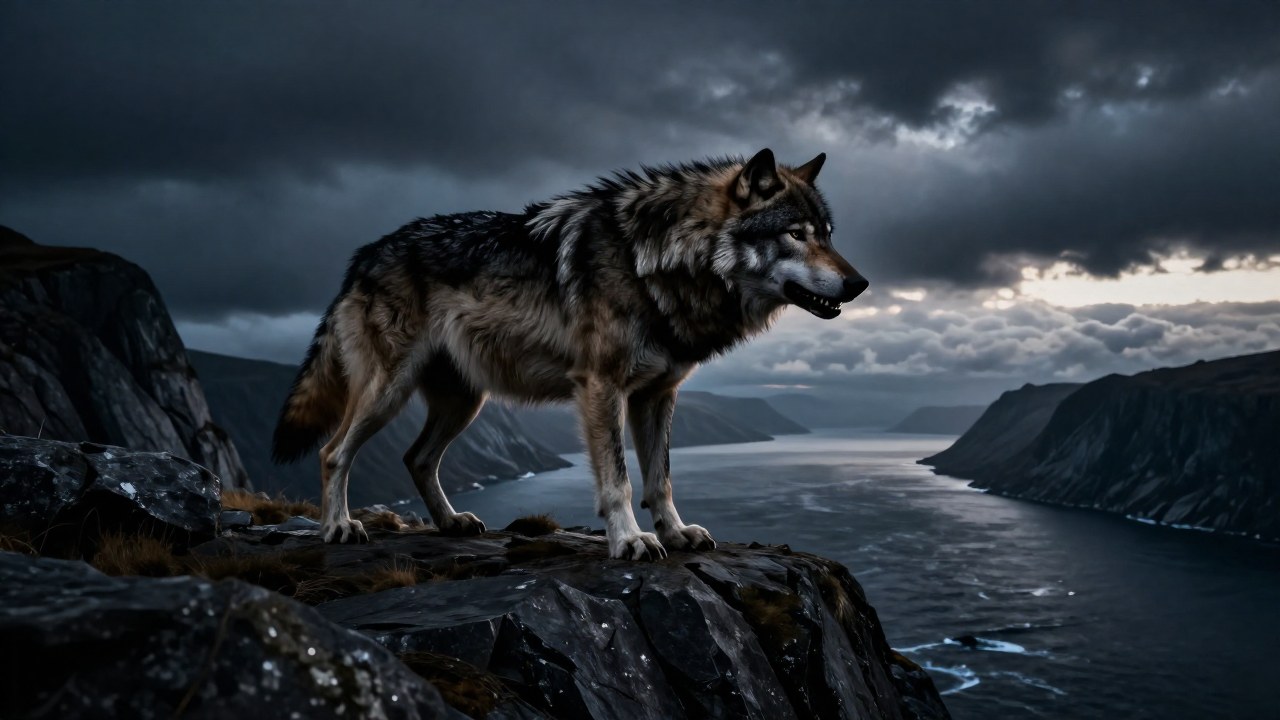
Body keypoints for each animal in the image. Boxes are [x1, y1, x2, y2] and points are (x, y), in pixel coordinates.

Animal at [271, 149, 868, 559]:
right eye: (796, 234)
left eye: (828, 234)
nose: (860, 283)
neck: (657, 262)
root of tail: (363, 256)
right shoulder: (602, 387)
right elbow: (619, 480)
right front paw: (630, 541)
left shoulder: (658, 394)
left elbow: (661, 479)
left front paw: (675, 533)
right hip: (389, 391)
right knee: (333, 453)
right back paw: (338, 527)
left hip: (466, 402)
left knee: (416, 458)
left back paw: (451, 523)